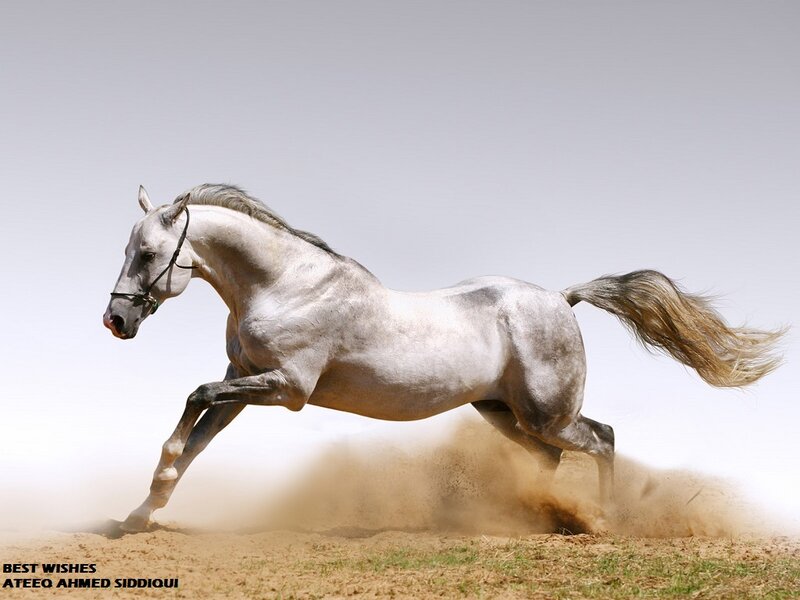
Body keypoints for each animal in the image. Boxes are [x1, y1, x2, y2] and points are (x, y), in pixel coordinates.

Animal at [104, 184, 783, 532]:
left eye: (148, 253)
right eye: (131, 249)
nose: (116, 321)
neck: (285, 285)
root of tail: (561, 299)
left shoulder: (286, 388)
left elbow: (192, 401)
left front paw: (149, 496)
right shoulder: (244, 379)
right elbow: (197, 439)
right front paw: (141, 512)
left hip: (547, 413)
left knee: (603, 438)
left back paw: (604, 520)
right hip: (501, 412)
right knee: (553, 458)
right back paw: (535, 517)